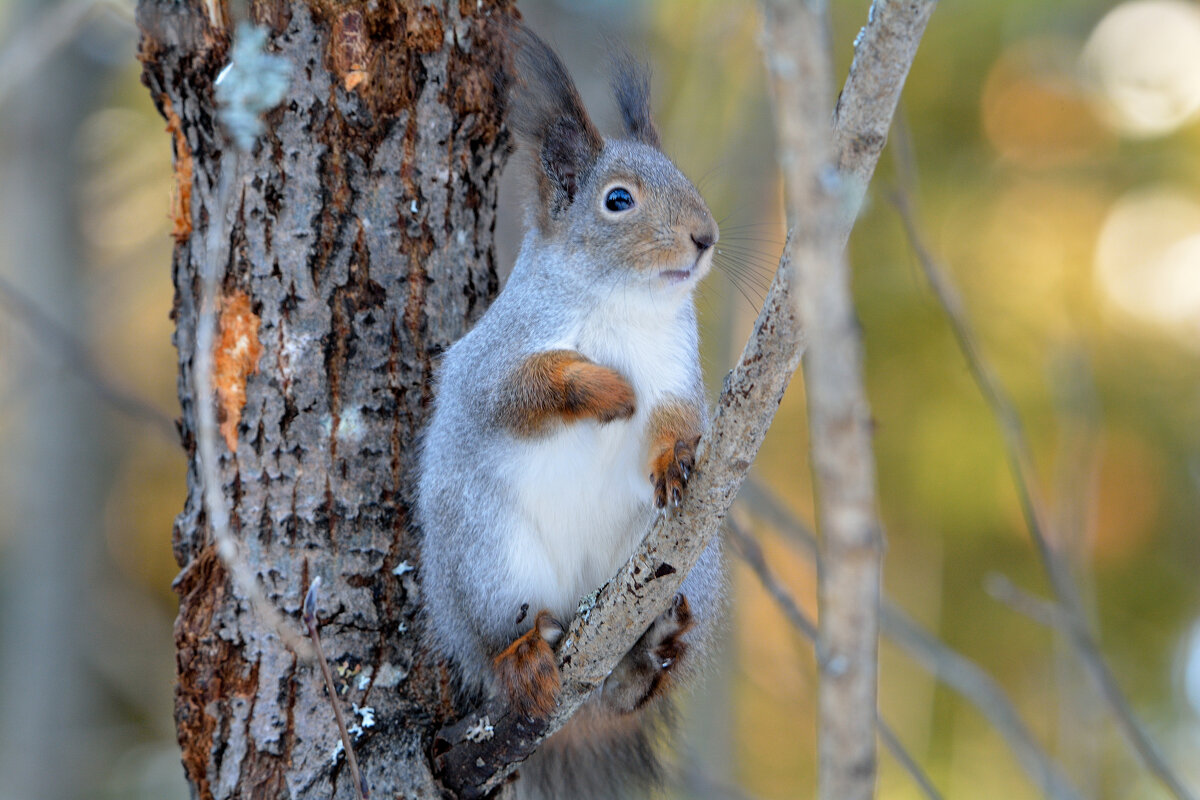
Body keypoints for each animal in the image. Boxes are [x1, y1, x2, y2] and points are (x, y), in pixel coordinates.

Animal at [417, 25, 724, 800]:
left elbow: (678, 418)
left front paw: (675, 457)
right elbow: (521, 389)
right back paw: (523, 656)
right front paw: (605, 389)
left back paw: (651, 653)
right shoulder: (492, 361)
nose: (705, 236)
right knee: (502, 638)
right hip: (488, 557)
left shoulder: (679, 371)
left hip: (687, 565)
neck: (623, 304)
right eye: (618, 200)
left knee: (627, 686)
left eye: (684, 176)